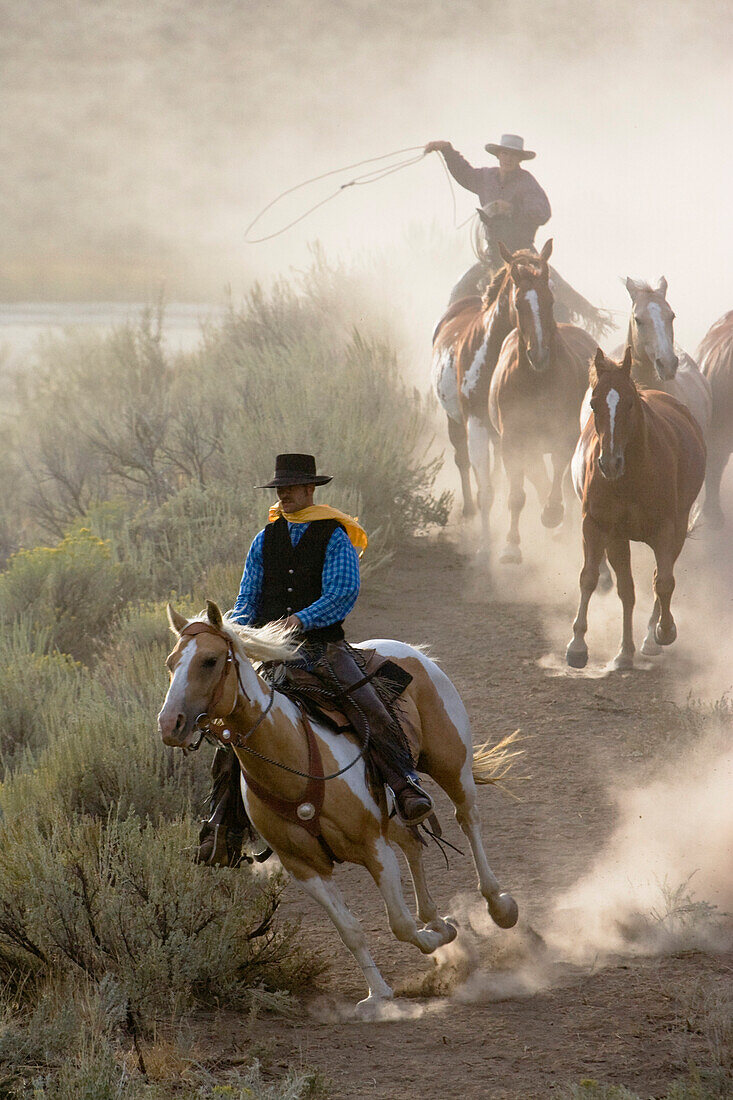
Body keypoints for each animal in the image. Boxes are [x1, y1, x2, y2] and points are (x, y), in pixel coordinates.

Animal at [157, 602, 517, 1012]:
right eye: (171, 662)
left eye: (210, 660)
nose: (170, 724)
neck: (294, 754)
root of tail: (408, 650)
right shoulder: (305, 868)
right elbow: (350, 931)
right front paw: (379, 994)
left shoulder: (373, 847)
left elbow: (399, 923)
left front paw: (432, 942)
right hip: (396, 809)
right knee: (413, 843)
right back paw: (435, 919)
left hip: (451, 763)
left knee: (467, 817)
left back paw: (499, 905)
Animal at [484, 242, 594, 567]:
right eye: (519, 304)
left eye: (550, 299)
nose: (540, 355)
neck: (535, 380)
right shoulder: (512, 442)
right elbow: (517, 494)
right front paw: (510, 546)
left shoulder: (563, 437)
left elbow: (559, 476)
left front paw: (552, 513)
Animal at [563, 347, 704, 668]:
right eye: (594, 404)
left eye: (629, 403)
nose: (610, 463)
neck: (631, 476)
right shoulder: (600, 527)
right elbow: (594, 580)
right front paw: (579, 645)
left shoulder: (667, 529)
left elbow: (663, 582)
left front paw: (664, 632)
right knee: (628, 589)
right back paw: (625, 651)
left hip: (677, 531)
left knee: (659, 579)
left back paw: (651, 638)